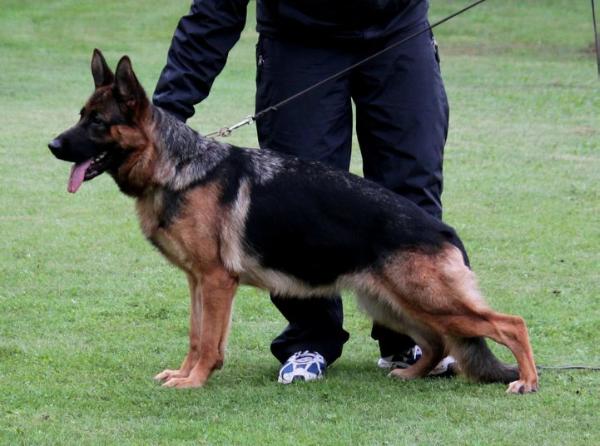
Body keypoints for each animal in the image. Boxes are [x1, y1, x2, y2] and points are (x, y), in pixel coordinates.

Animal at [48, 49, 538, 394]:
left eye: (98, 122)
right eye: (81, 116)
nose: (52, 146)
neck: (179, 168)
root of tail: (444, 230)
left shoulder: (216, 281)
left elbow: (207, 341)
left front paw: (196, 380)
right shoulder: (197, 282)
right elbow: (194, 334)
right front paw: (185, 374)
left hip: (429, 299)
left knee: (509, 323)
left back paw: (527, 380)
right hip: (391, 303)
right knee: (438, 341)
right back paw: (413, 373)